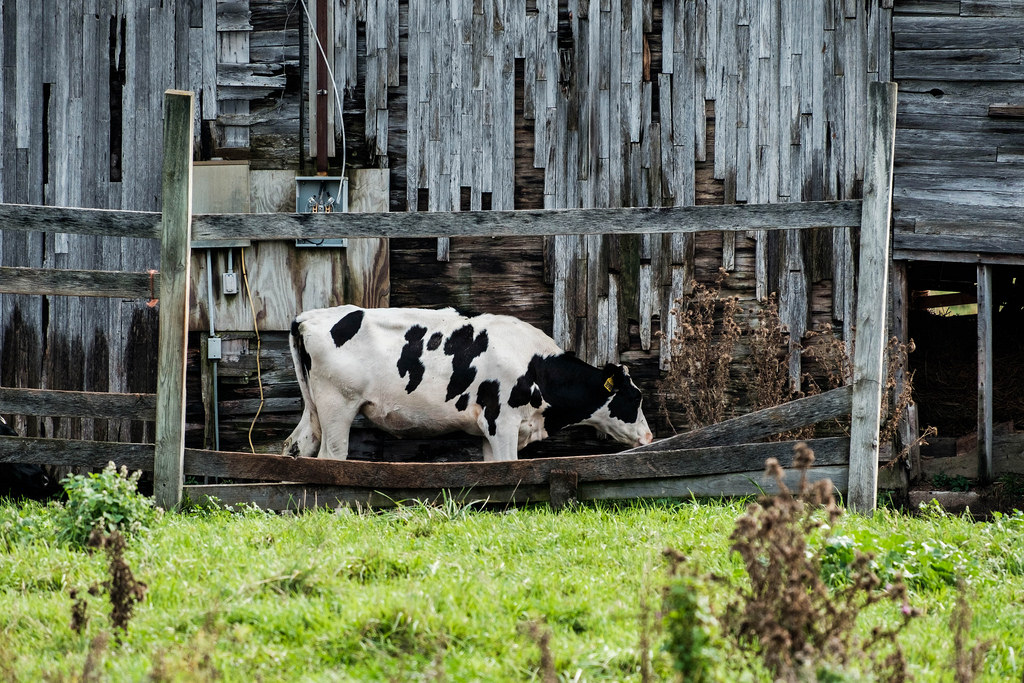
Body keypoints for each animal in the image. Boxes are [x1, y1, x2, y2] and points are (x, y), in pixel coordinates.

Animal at [280, 307, 651, 462]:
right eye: (635, 398)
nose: (649, 437)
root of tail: (309, 316)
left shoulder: (490, 430)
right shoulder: (501, 421)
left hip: (314, 409)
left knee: (297, 446)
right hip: (337, 405)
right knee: (331, 455)